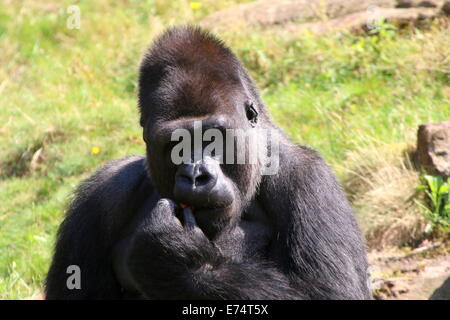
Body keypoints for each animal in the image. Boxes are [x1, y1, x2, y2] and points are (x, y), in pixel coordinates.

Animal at [44, 25, 370, 300]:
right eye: (175, 145)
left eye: (213, 138)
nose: (196, 175)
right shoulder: (100, 196)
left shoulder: (309, 179)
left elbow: (330, 293)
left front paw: (177, 260)